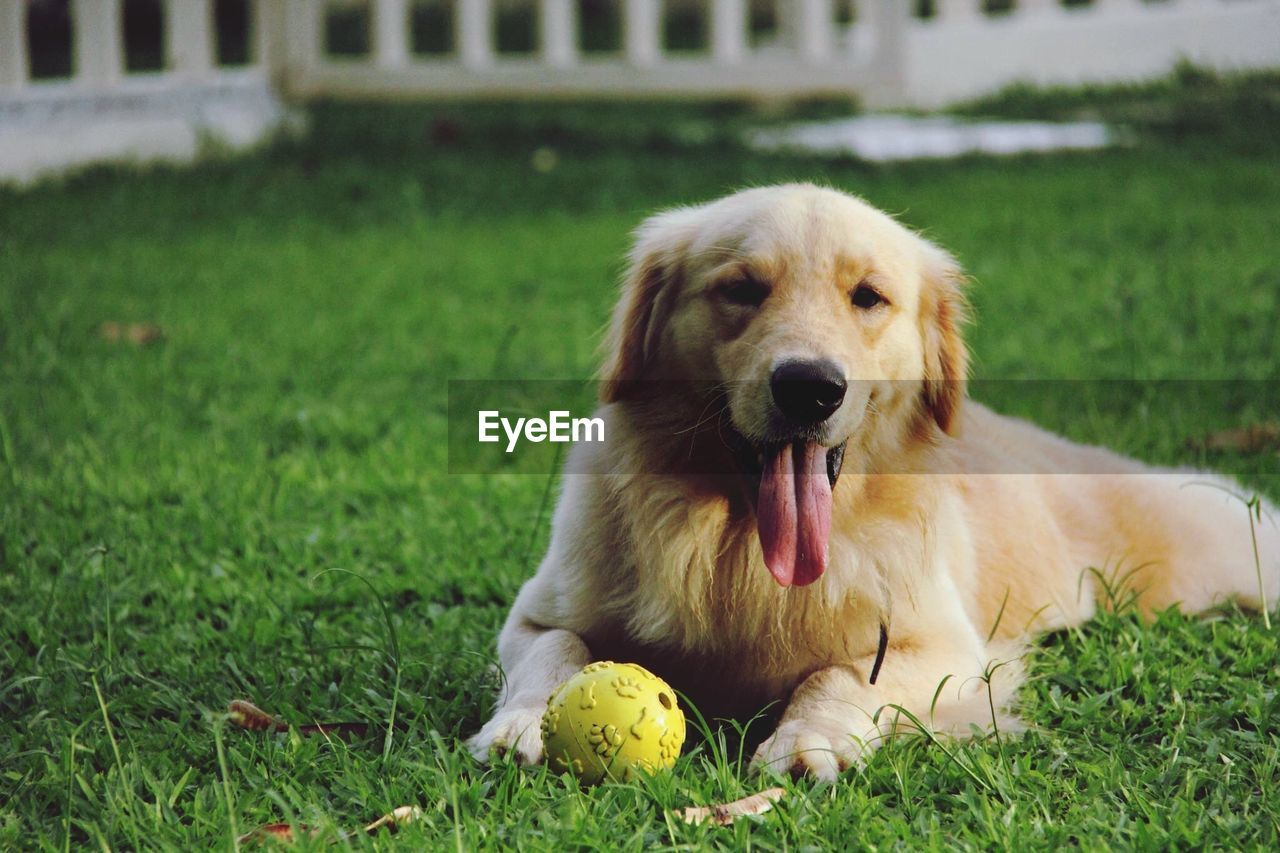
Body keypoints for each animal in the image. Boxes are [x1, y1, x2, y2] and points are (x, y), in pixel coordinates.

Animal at [471, 184, 1280, 778]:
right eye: (741, 289)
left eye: (867, 296)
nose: (809, 388)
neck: (738, 550)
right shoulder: (535, 613)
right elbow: (556, 651)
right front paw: (522, 723)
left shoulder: (948, 652)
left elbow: (839, 675)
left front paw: (809, 740)